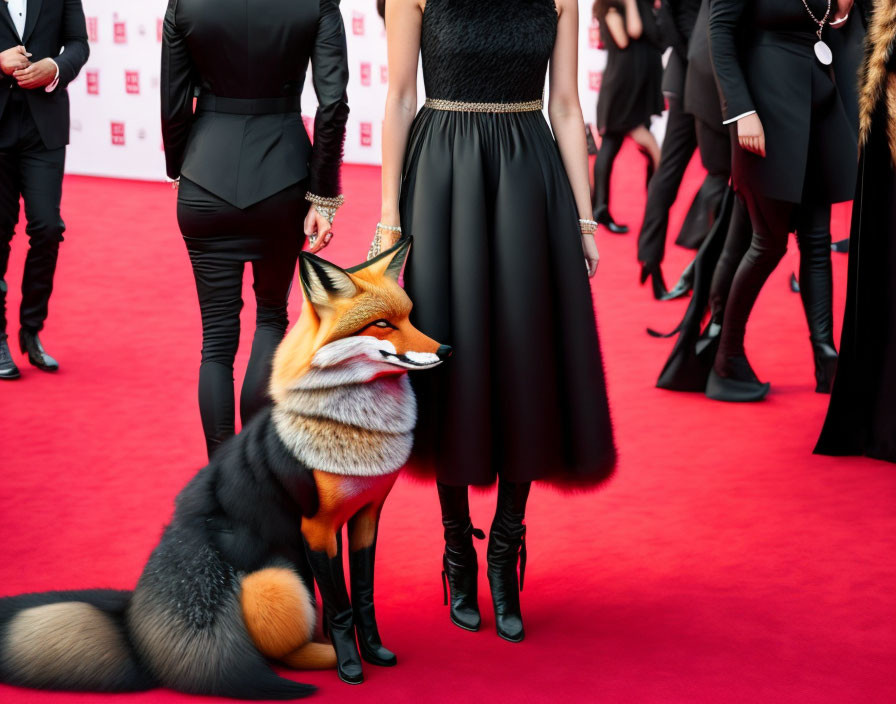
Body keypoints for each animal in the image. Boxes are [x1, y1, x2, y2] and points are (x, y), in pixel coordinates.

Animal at [0, 241, 448, 700]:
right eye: (382, 324)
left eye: (409, 317)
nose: (445, 350)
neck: (358, 430)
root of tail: (135, 620)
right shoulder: (316, 527)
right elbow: (341, 608)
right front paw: (351, 665)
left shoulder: (367, 515)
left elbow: (362, 594)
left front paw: (374, 650)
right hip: (276, 581)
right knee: (278, 651)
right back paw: (320, 659)